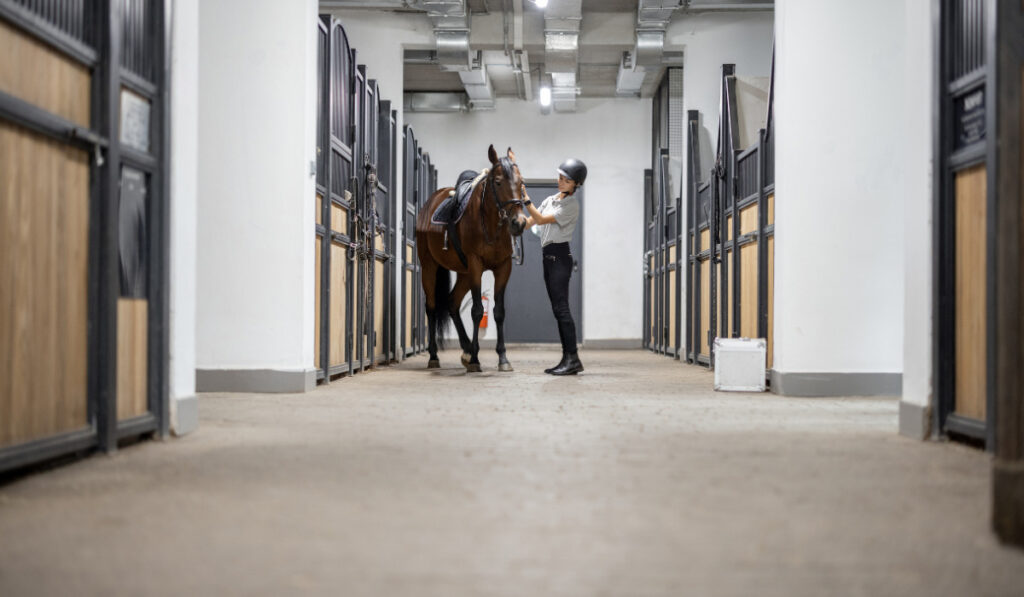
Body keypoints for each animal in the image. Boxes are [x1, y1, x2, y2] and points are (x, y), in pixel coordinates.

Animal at [415, 144, 528, 370]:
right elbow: (477, 310)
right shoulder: (476, 265)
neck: (491, 224)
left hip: (463, 272)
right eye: (498, 181)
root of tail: (430, 202)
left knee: (452, 302)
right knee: (431, 307)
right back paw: (434, 356)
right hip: (430, 266)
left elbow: (499, 311)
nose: (518, 223)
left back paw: (466, 349)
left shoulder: (503, 268)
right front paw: (476, 359)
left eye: (521, 182)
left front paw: (502, 358)